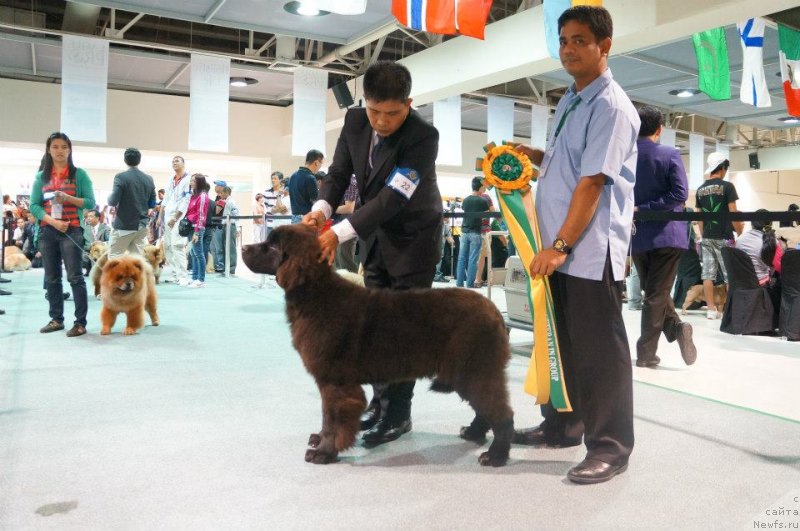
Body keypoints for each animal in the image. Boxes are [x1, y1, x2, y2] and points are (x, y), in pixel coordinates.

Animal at [242, 227, 512, 468]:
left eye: (273, 246)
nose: (244, 247)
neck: (314, 295)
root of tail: (495, 312)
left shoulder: (334, 382)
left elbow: (333, 419)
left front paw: (324, 452)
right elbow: (327, 417)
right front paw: (320, 440)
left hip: (475, 370)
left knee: (502, 413)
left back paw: (495, 456)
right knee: (485, 409)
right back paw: (474, 433)